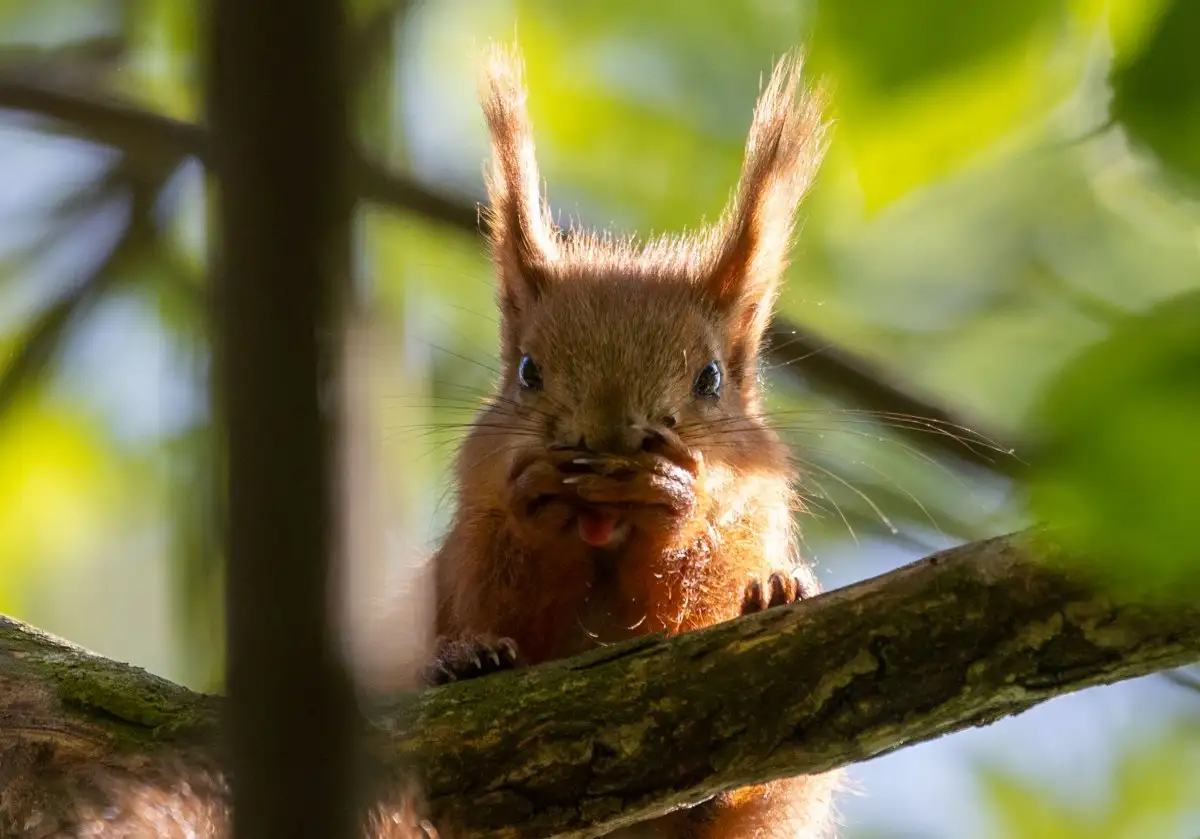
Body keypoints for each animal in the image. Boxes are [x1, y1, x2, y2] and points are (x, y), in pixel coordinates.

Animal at [427, 44, 840, 839]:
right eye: (528, 371)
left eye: (711, 378)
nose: (611, 437)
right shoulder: (470, 545)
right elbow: (501, 590)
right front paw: (537, 500)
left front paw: (672, 498)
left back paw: (776, 591)